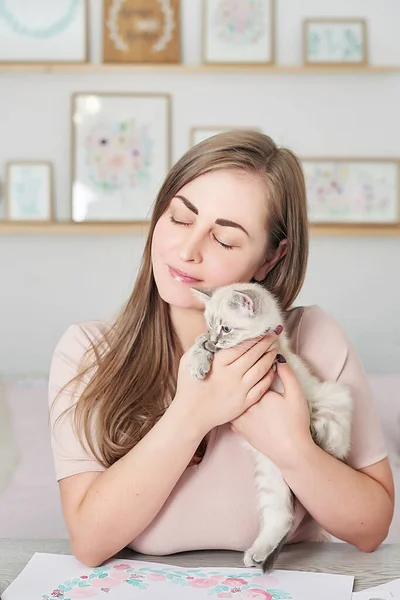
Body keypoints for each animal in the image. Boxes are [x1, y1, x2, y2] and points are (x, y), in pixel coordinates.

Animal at [188, 284, 354, 576]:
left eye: (226, 328)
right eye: (210, 325)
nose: (216, 340)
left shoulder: (276, 359)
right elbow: (199, 343)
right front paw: (200, 358)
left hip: (333, 396)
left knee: (335, 445)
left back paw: (314, 432)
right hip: (269, 476)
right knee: (281, 516)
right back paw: (257, 554)